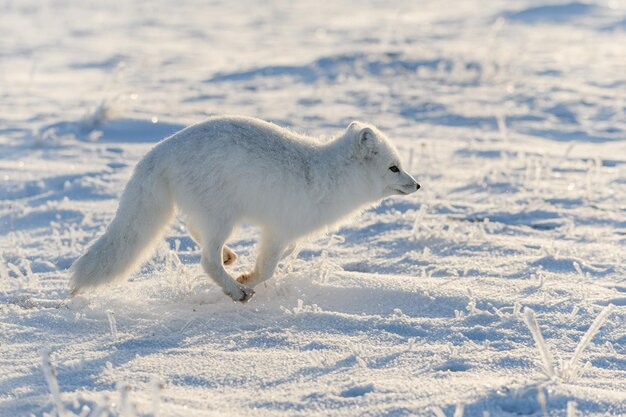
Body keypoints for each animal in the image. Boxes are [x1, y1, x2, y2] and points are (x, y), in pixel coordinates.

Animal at [69, 115, 420, 300]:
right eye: (394, 168)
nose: (417, 185)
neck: (330, 174)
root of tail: (160, 149)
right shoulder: (279, 229)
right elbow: (269, 268)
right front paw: (246, 281)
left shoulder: (281, 233)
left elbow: (282, 255)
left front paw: (245, 272)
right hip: (222, 217)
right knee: (206, 261)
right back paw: (235, 291)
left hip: (213, 215)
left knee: (196, 233)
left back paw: (229, 257)